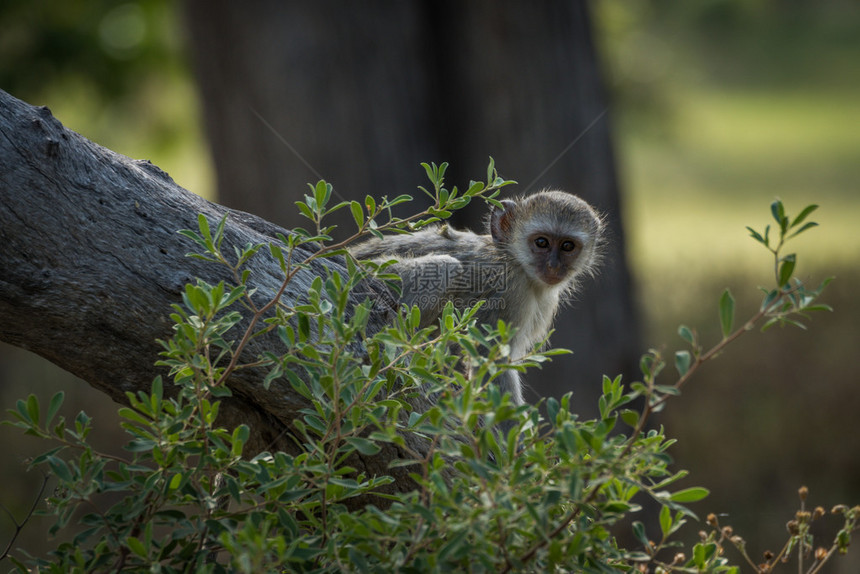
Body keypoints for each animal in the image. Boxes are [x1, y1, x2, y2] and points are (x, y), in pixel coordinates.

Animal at [350, 191, 604, 408]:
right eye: (542, 243)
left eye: (567, 246)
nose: (553, 266)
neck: (514, 260)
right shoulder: (509, 291)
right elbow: (488, 364)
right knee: (445, 267)